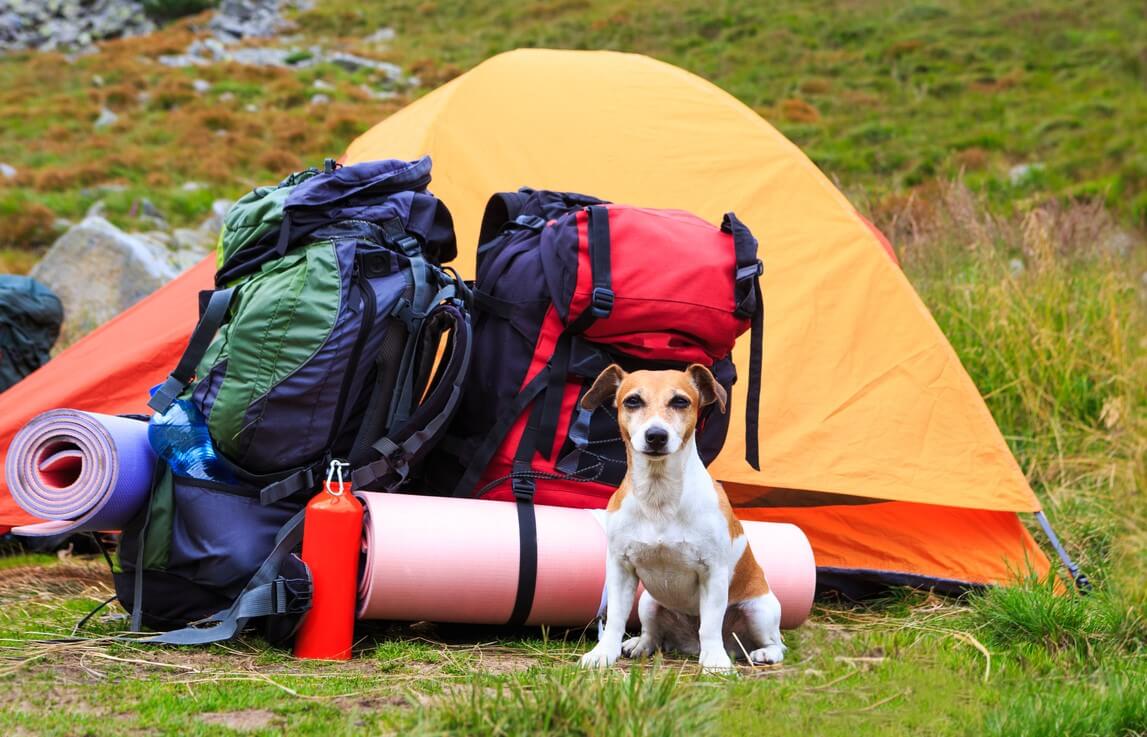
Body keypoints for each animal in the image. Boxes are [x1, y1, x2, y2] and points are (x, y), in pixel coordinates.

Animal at [578, 364, 784, 673]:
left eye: (680, 401)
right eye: (632, 401)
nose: (656, 435)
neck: (658, 494)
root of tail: (689, 643)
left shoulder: (713, 572)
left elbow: (710, 625)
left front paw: (715, 661)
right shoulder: (620, 568)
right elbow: (615, 618)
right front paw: (603, 653)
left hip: (760, 611)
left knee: (776, 643)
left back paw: (764, 653)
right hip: (648, 603)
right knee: (653, 633)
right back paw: (640, 644)